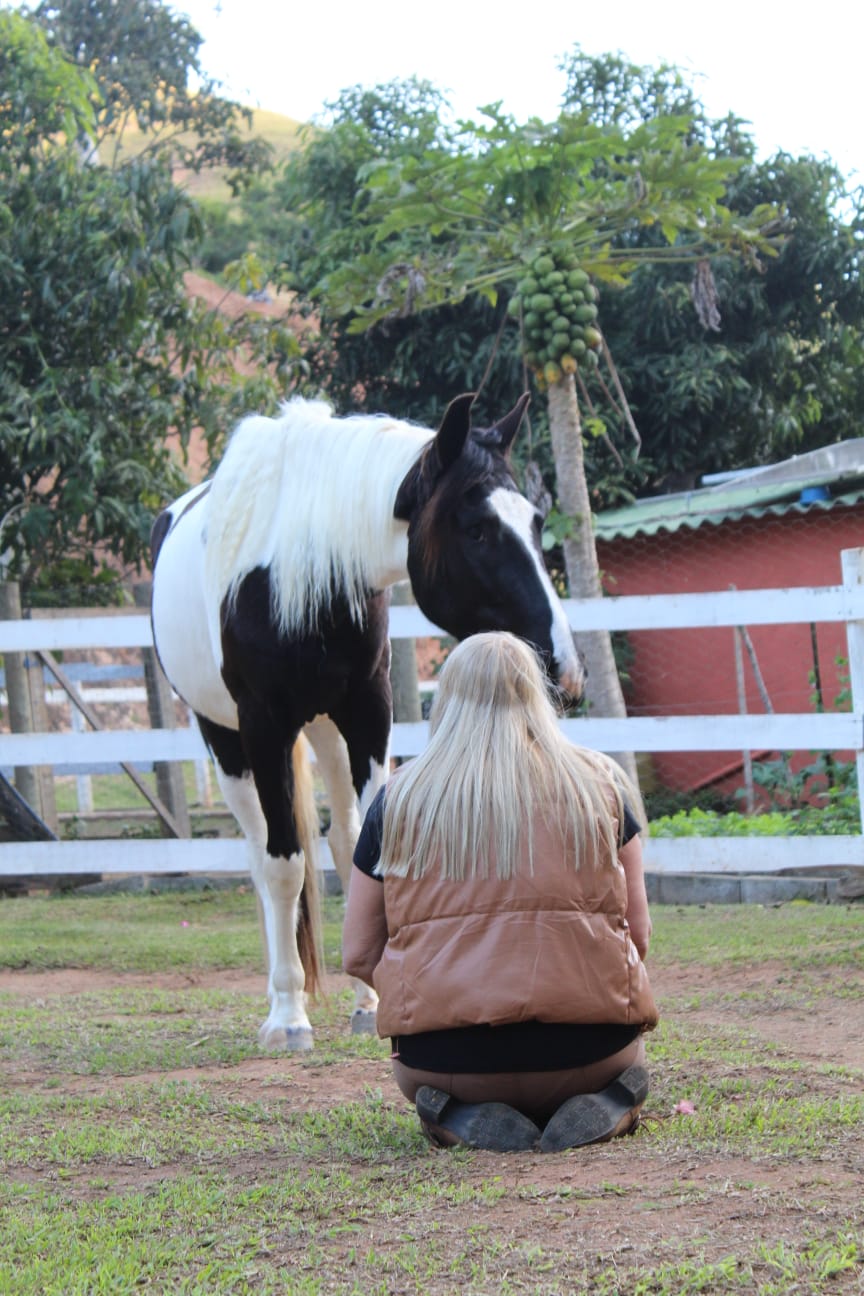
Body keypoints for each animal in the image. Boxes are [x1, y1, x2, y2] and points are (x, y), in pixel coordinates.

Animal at [150, 391, 584, 1051]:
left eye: (535, 522)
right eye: (477, 528)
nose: (563, 665)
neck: (299, 568)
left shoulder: (369, 711)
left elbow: (368, 849)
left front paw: (375, 1000)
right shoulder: (262, 725)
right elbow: (283, 866)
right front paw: (289, 1016)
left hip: (326, 729)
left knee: (338, 839)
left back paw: (357, 993)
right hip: (224, 738)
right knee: (260, 853)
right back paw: (280, 995)